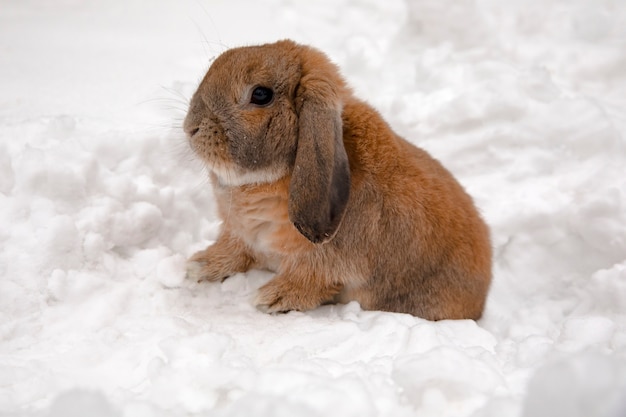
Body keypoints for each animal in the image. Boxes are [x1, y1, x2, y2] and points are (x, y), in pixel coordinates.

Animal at [183, 39, 490, 318]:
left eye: (260, 94)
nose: (190, 128)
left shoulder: (327, 263)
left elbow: (310, 280)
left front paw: (271, 298)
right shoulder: (241, 235)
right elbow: (236, 250)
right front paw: (199, 265)